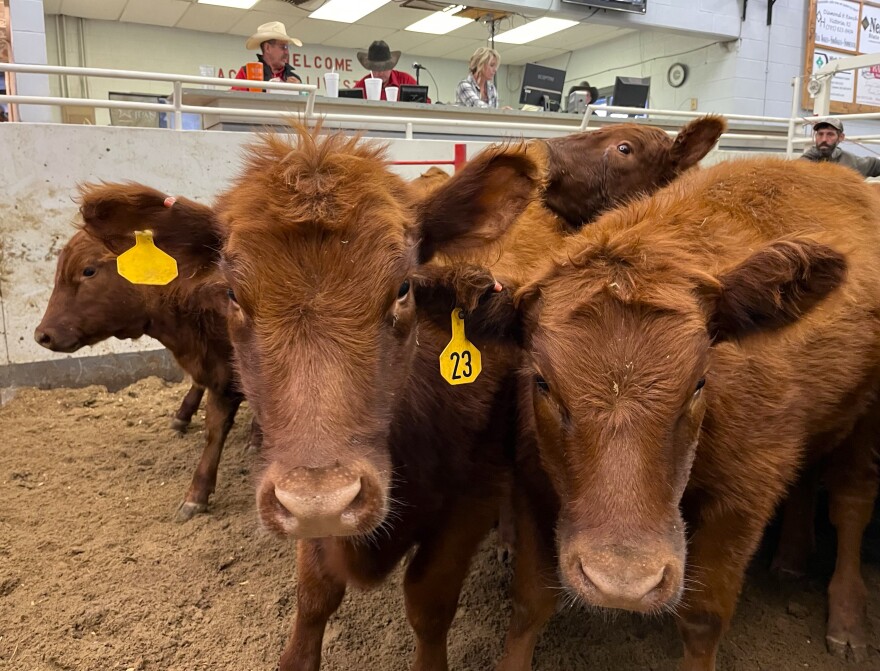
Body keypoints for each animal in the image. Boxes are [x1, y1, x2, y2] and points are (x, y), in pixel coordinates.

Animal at [422, 155, 880, 668]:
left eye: (700, 382)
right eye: (541, 381)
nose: (622, 584)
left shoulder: (744, 497)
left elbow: (702, 622)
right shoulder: (535, 478)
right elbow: (530, 603)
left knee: (852, 500)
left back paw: (847, 619)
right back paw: (792, 557)